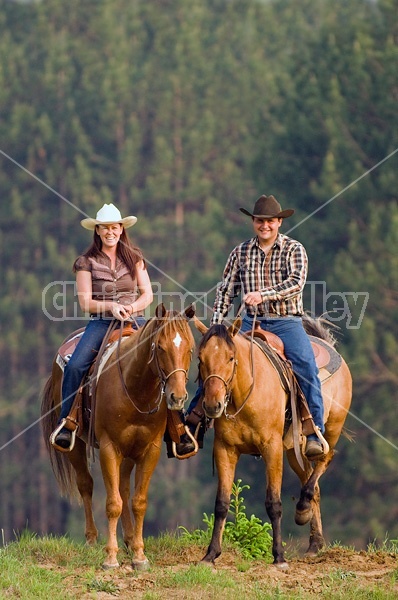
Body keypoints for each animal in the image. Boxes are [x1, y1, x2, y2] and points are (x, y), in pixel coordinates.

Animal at [41, 304, 195, 568]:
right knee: (86, 484)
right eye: (160, 347)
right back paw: (92, 539)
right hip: (76, 445)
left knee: (123, 489)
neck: (136, 389)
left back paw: (130, 539)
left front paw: (139, 555)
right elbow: (113, 503)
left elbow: (138, 501)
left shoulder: (150, 449)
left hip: (130, 452)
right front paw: (110, 557)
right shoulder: (109, 447)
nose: (177, 397)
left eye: (190, 348)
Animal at [194, 316, 352, 568]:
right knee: (312, 482)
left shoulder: (272, 448)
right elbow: (221, 503)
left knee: (323, 461)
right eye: (201, 358)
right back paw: (314, 543)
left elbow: (274, 503)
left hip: (332, 429)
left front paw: (279, 557)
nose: (212, 405)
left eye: (231, 357)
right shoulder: (225, 449)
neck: (247, 392)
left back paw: (302, 509)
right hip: (295, 450)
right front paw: (210, 555)